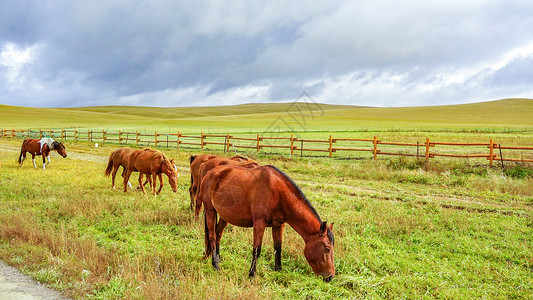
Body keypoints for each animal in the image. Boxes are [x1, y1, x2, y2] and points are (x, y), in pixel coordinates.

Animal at [197, 164, 334, 282]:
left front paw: (278, 270)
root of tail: (209, 173)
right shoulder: (259, 223)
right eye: (327, 249)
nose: (330, 276)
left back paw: (218, 259)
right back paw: (215, 265)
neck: (278, 193)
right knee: (212, 236)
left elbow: (278, 248)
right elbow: (257, 250)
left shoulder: (279, 225)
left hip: (224, 216)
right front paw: (251, 274)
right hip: (210, 210)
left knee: (218, 234)